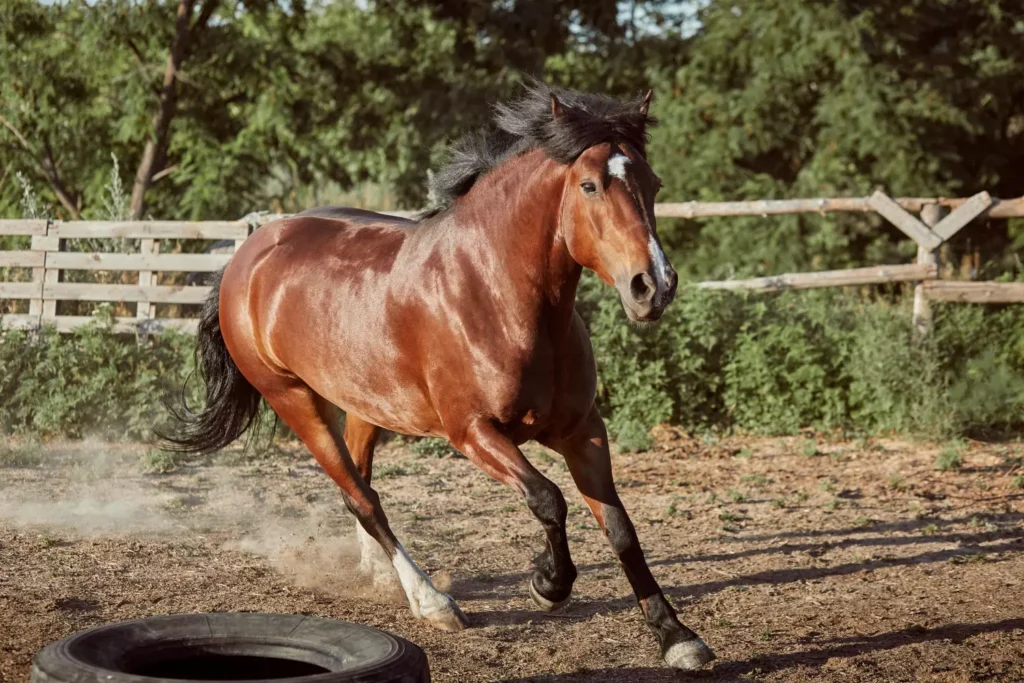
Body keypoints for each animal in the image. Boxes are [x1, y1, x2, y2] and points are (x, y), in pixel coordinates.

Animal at [163, 82, 716, 671]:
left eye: (652, 183)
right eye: (589, 185)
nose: (653, 286)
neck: (495, 294)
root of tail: (248, 255)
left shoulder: (582, 430)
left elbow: (621, 528)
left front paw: (677, 637)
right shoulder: (473, 432)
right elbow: (548, 498)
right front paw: (548, 584)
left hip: (364, 403)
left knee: (359, 486)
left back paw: (385, 578)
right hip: (293, 400)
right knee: (363, 499)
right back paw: (432, 602)